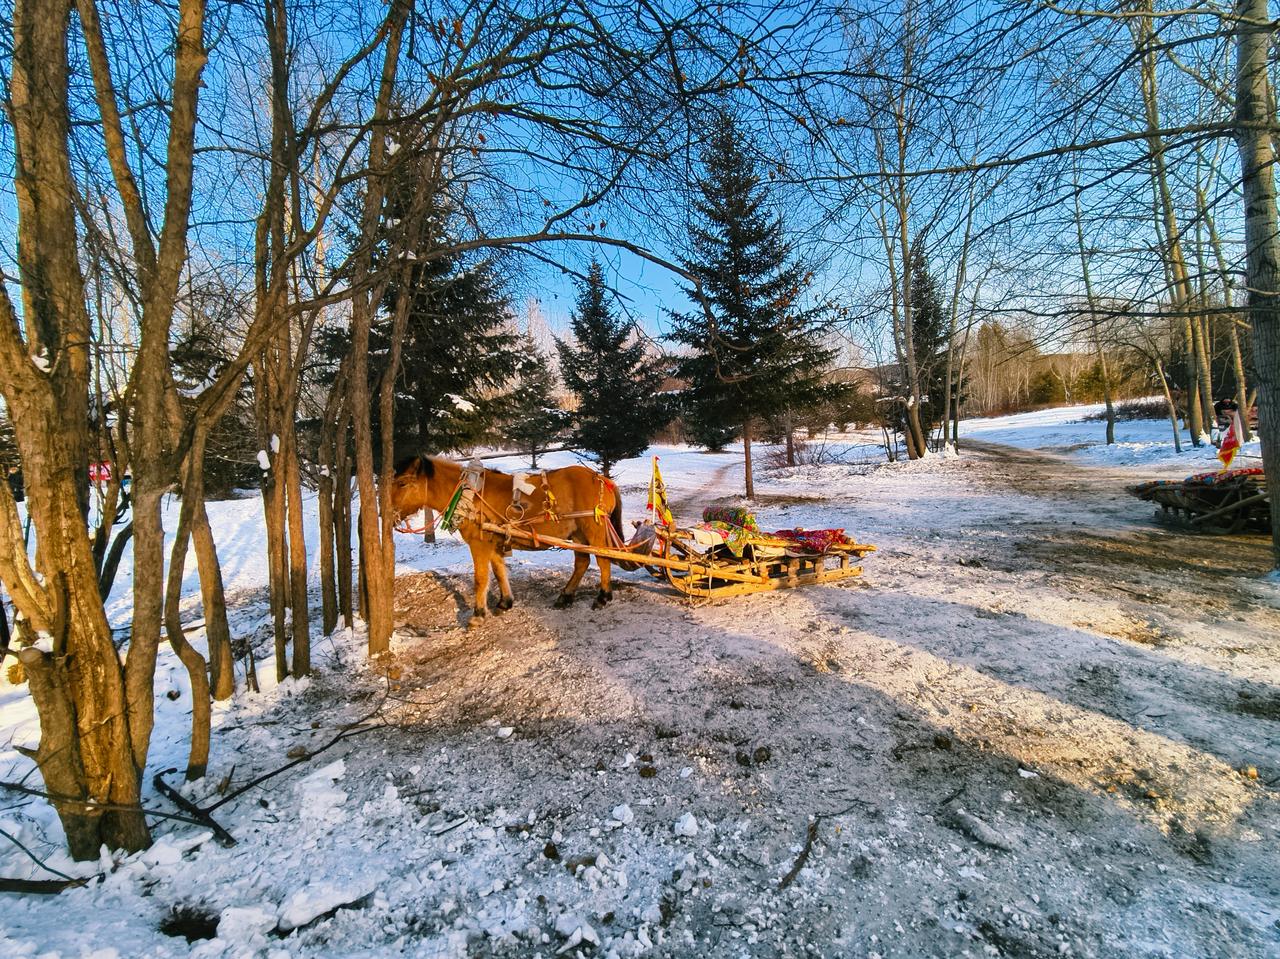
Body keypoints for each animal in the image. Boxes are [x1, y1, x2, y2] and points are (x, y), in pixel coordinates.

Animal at [388, 455, 626, 626]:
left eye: (402, 483)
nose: (387, 514)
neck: (470, 495)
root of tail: (603, 479)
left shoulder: (479, 544)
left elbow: (481, 578)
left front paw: (478, 614)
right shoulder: (493, 543)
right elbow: (499, 571)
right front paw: (505, 602)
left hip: (593, 529)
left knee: (603, 560)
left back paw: (603, 597)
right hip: (577, 534)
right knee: (582, 562)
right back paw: (565, 596)